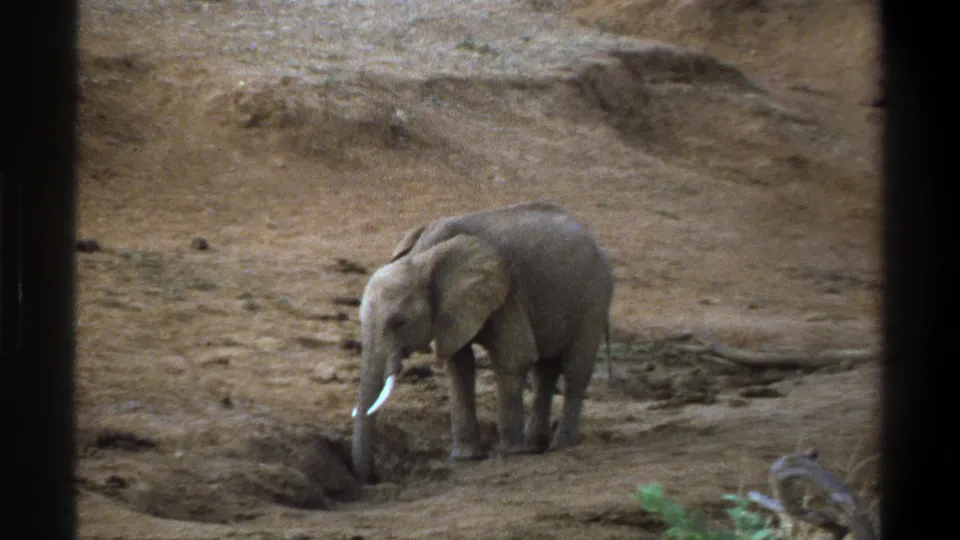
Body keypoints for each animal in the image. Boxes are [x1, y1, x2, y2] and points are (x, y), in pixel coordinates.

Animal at [350, 201, 614, 484]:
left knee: (575, 369)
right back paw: (535, 446)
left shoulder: (507, 291)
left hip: (594, 298)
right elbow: (459, 365)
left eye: (400, 322)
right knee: (545, 370)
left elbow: (514, 357)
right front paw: (464, 458)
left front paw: (508, 453)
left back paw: (560, 445)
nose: (371, 477)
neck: (421, 257)